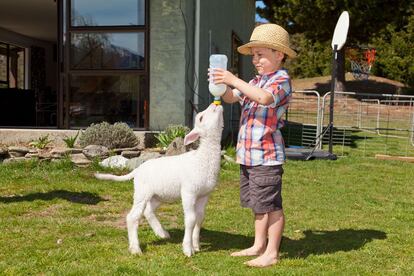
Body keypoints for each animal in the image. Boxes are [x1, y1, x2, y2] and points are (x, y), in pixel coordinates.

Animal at [94, 103, 223, 256]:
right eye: (201, 117)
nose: (216, 104)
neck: (202, 158)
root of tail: (138, 170)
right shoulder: (188, 192)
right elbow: (191, 219)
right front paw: (188, 249)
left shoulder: (204, 194)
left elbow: (200, 218)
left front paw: (196, 245)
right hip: (141, 192)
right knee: (133, 217)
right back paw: (135, 248)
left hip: (157, 195)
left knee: (148, 211)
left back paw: (162, 233)